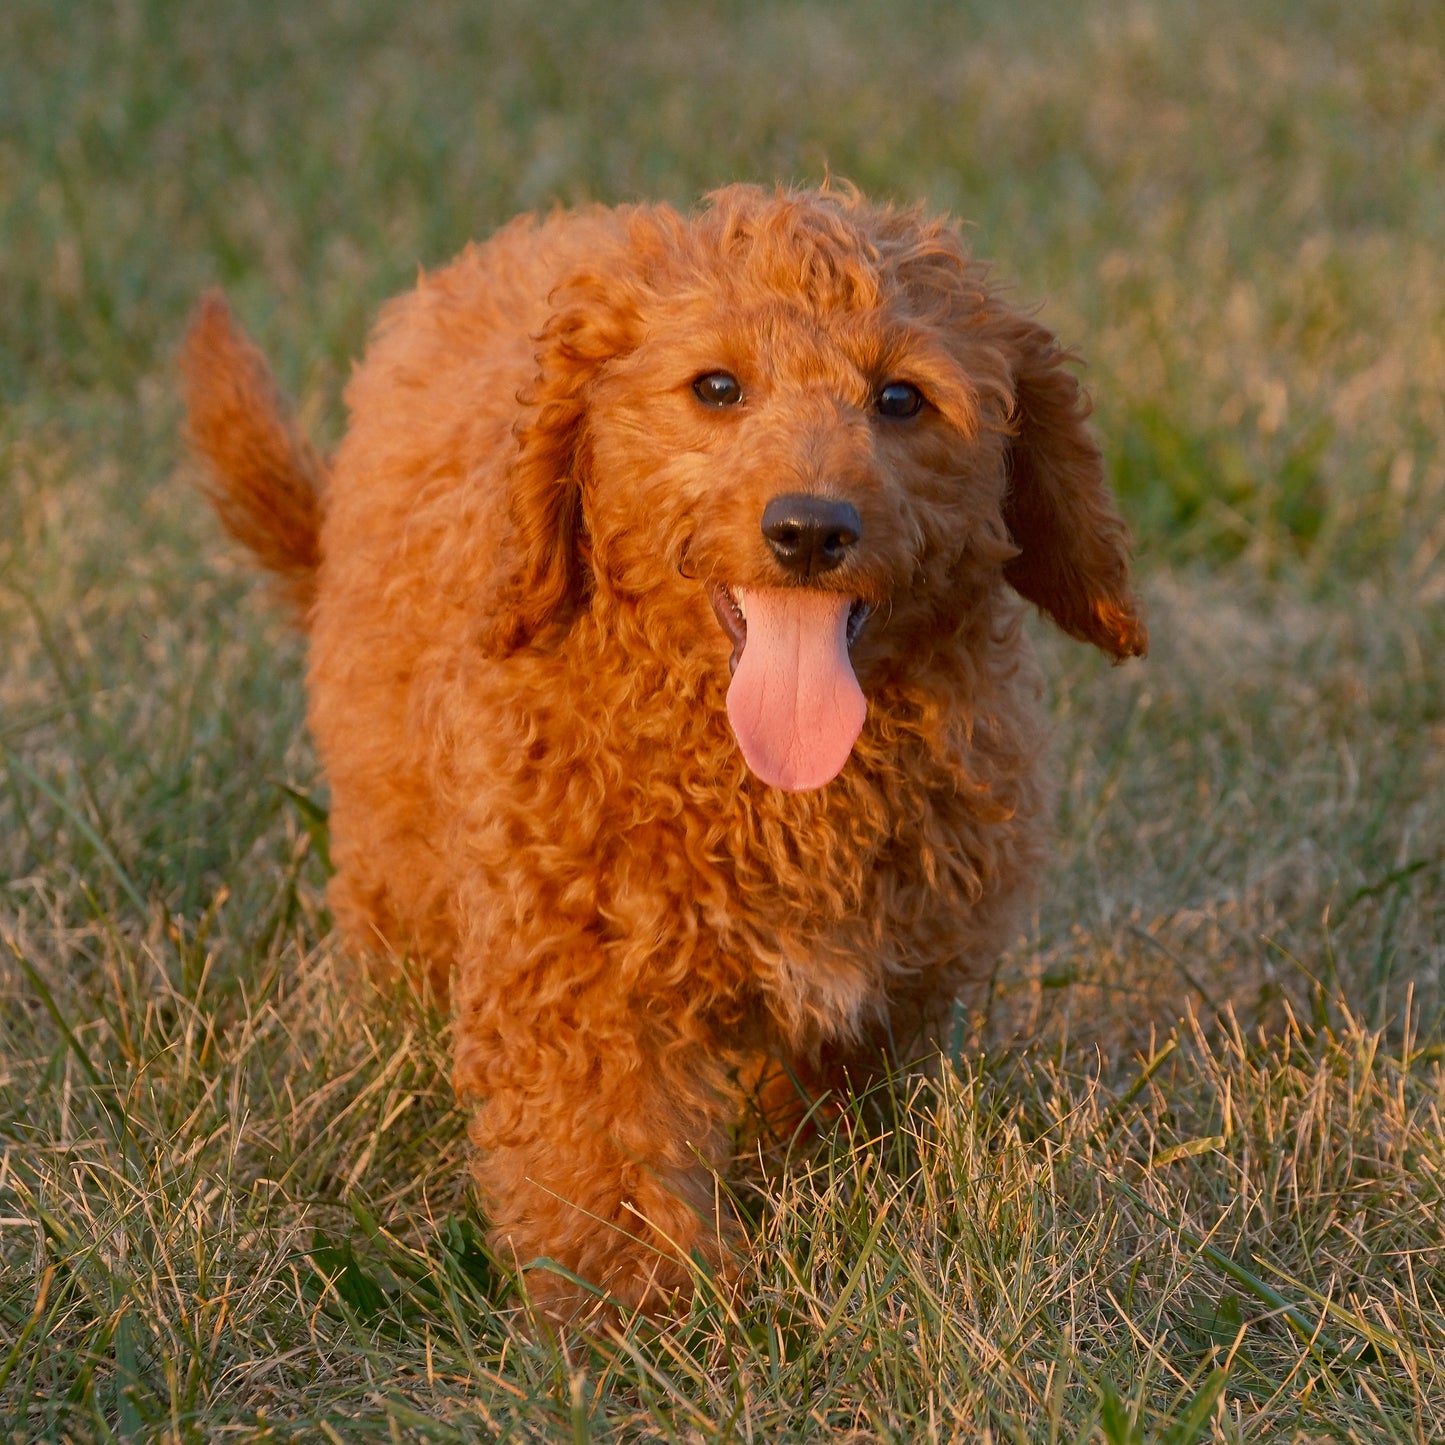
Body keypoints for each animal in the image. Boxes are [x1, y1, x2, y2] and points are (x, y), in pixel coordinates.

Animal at [183, 180, 1150, 1323]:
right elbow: (609, 1162)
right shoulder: (584, 976)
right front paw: (641, 1319)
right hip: (391, 814)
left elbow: (824, 1106)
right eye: (717, 388)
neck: (770, 779)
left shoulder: (892, 977)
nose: (807, 529)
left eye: (901, 399)